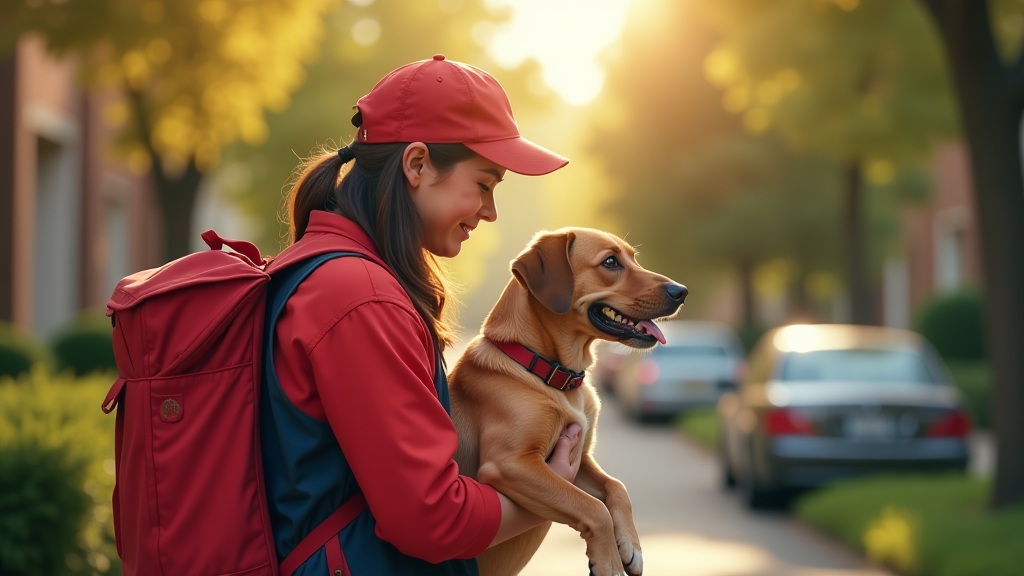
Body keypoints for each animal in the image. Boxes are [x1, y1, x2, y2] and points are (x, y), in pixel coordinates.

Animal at [450, 226, 684, 573]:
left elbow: (617, 487)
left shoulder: (580, 460)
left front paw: (631, 546)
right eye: (611, 262)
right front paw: (610, 564)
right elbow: (593, 509)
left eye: (633, 258)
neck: (556, 376)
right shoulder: (509, 463)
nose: (682, 291)